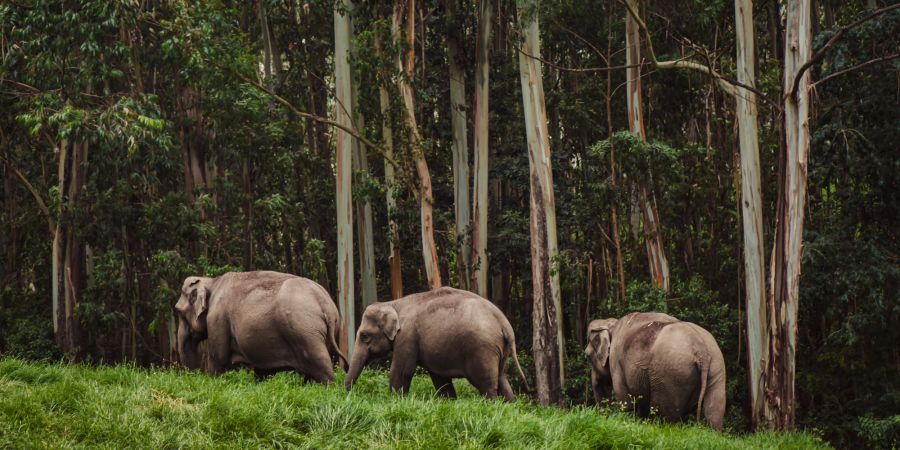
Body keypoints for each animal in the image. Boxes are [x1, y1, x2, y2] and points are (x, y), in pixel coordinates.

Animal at [175, 270, 348, 384]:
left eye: (178, 311)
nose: (193, 377)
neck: (212, 281)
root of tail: (325, 303)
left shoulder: (217, 319)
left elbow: (218, 359)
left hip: (305, 331)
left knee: (320, 364)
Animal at [342, 286, 528, 400]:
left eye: (364, 336)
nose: (347, 394)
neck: (393, 303)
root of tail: (504, 323)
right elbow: (440, 378)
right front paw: (449, 401)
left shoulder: (407, 336)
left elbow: (402, 370)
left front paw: (394, 399)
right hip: (499, 349)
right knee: (502, 379)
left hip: (483, 350)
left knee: (486, 384)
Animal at [588, 312, 728, 430]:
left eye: (587, 355)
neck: (612, 324)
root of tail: (700, 349)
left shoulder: (616, 362)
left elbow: (625, 399)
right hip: (716, 364)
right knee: (714, 409)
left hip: (671, 374)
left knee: (667, 415)